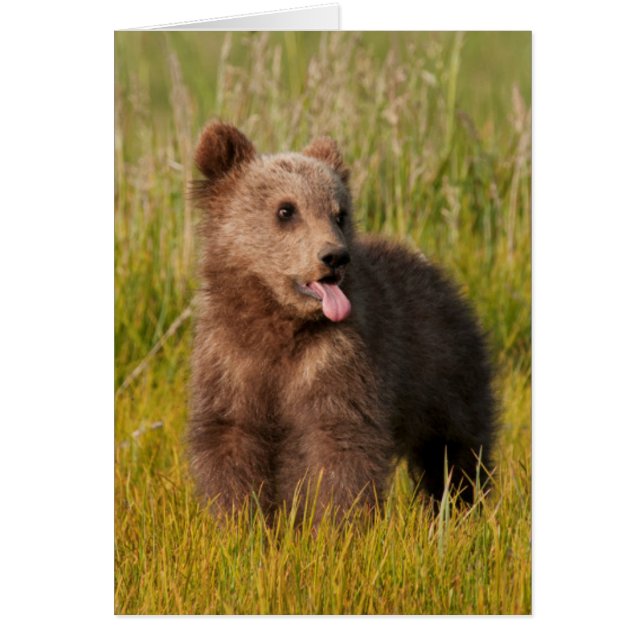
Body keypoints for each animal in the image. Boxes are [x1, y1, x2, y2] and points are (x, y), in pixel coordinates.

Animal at [188, 122, 496, 523]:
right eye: (286, 210)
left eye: (339, 213)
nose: (334, 256)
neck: (279, 323)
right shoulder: (230, 359)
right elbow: (229, 438)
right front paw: (239, 521)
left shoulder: (336, 359)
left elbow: (339, 445)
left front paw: (336, 525)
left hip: (444, 372)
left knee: (455, 450)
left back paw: (462, 507)